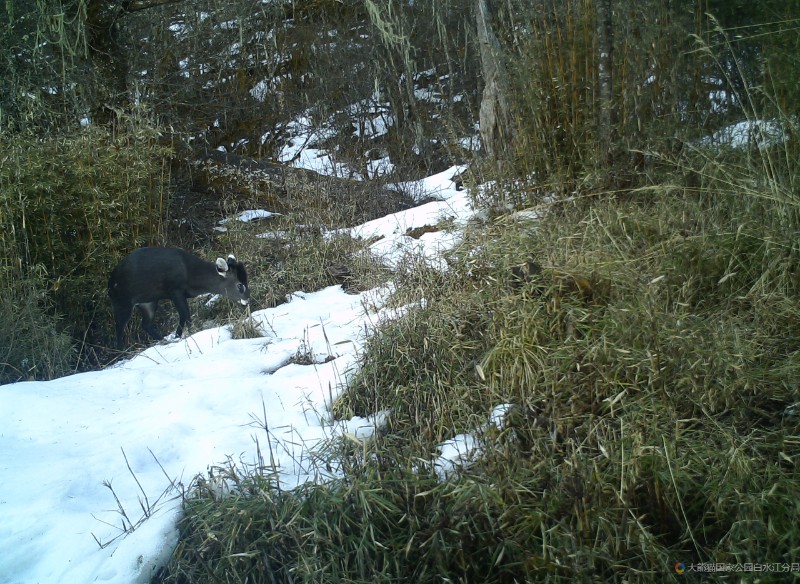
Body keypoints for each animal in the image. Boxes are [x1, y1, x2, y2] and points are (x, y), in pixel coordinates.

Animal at [108, 246, 248, 346]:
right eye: (240, 285)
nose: (246, 301)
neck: (192, 276)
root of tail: (109, 284)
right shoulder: (175, 289)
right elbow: (186, 315)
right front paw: (193, 332)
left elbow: (183, 316)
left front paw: (177, 336)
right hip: (122, 301)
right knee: (119, 327)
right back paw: (121, 351)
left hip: (149, 301)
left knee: (145, 324)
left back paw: (163, 341)